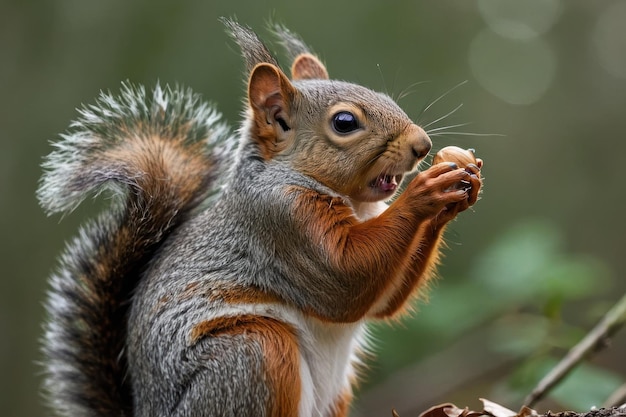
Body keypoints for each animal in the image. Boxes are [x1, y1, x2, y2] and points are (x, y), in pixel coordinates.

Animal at [39, 19, 482, 416]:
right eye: (345, 122)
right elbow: (345, 279)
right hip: (252, 355)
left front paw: (459, 188)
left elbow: (382, 302)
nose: (422, 145)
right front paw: (426, 191)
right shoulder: (282, 222)